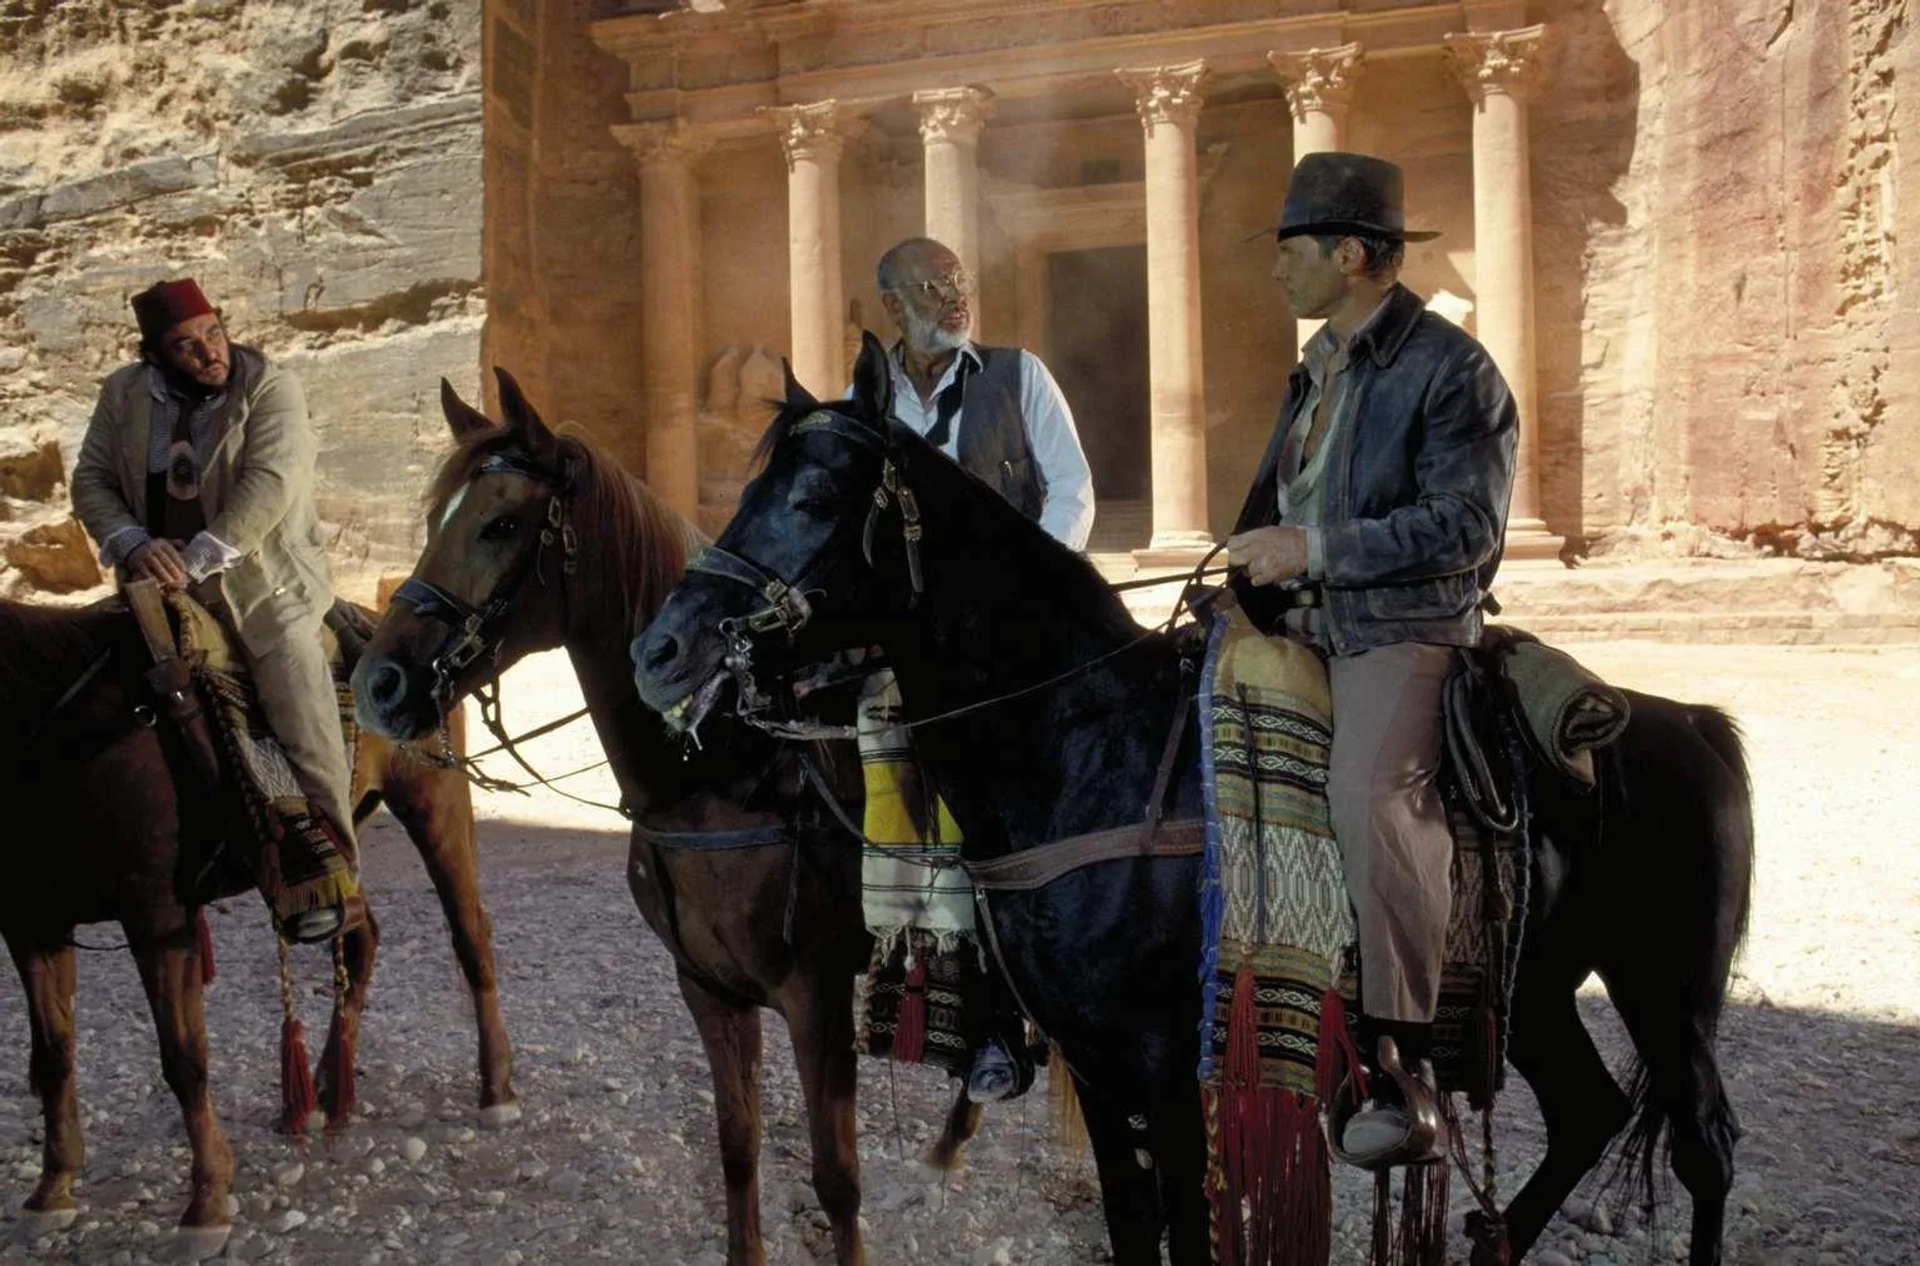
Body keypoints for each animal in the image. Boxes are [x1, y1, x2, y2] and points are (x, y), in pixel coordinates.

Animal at [0, 595, 514, 1260]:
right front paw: (53, 1187)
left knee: (469, 932)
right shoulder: (32, 924)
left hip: (435, 800)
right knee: (360, 937)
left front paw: (207, 1204)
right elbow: (54, 1051)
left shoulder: (157, 917)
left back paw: (496, 1089)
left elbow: (184, 1057)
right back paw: (325, 1088)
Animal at [351, 370, 975, 1266]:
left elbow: (836, 1181)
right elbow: (738, 1147)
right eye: (438, 519)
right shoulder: (708, 990)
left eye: (501, 523)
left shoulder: (817, 999)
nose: (378, 682)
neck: (726, 778)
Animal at [633, 334, 1758, 1266]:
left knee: (1704, 1149)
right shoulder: (1097, 1067)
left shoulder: (1169, 1073)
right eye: (750, 482)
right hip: (1538, 990)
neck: (1094, 752)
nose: (661, 648)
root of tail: (1689, 724)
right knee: (1587, 1113)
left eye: (817, 495)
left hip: (1664, 988)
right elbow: (1135, 1235)